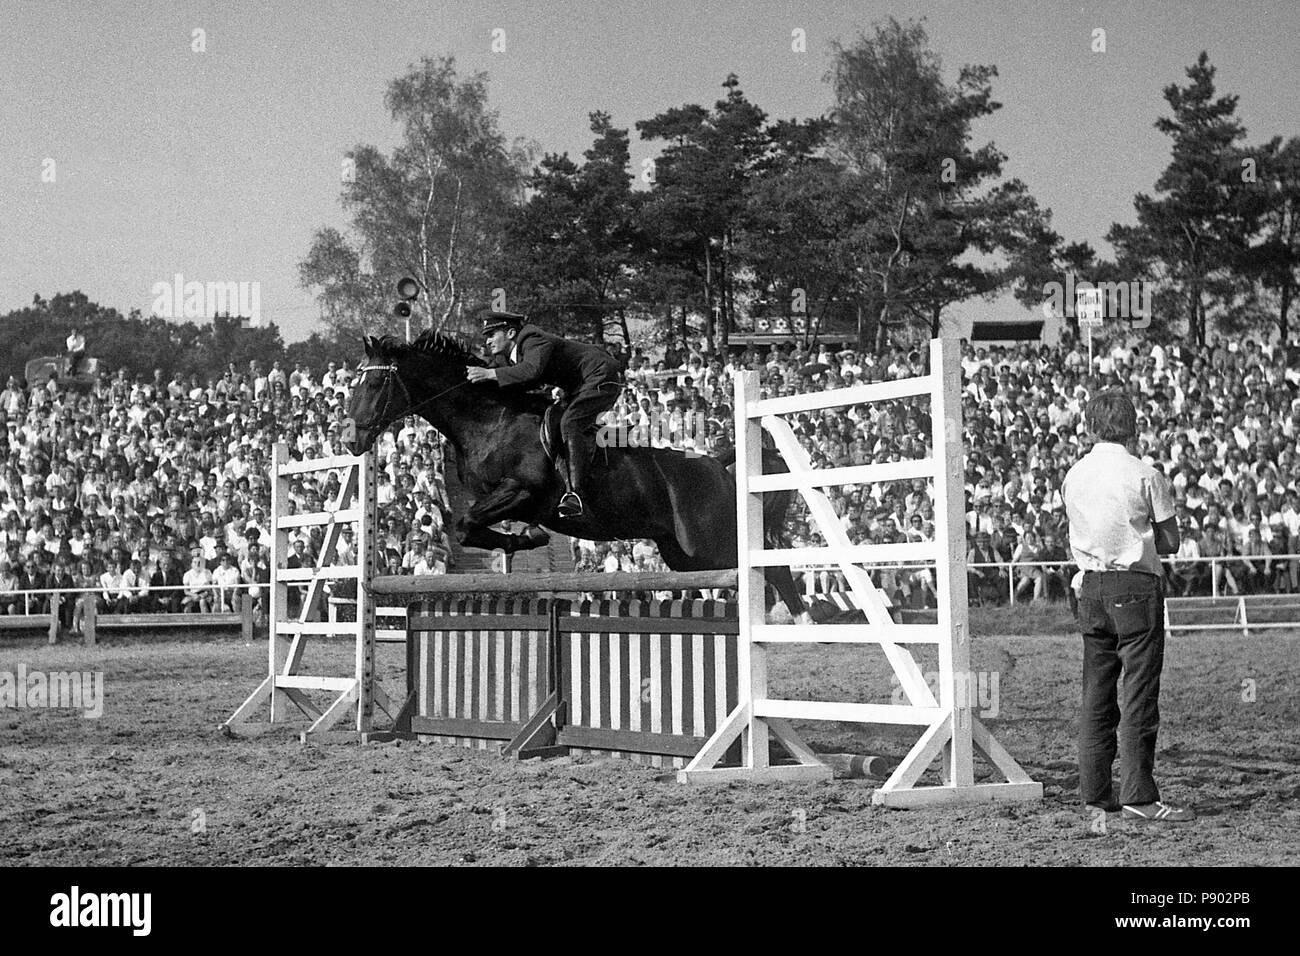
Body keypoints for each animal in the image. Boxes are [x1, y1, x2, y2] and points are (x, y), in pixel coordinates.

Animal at [343, 332, 832, 624]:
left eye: (374, 386)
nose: (350, 440)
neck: (487, 419)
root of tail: (716, 463)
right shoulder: (495, 498)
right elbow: (469, 528)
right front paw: (526, 539)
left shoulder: (522, 491)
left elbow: (466, 524)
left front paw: (528, 537)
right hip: (683, 555)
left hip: (708, 542)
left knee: (770, 563)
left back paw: (802, 621)